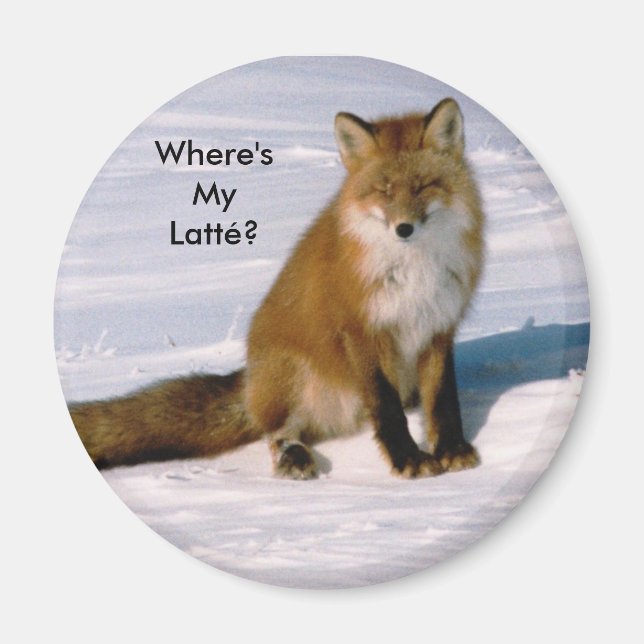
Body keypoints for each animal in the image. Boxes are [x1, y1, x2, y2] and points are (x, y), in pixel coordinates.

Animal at [69, 97, 484, 480]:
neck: (414, 269)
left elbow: (443, 401)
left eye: (423, 186)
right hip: (296, 374)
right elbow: (387, 409)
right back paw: (293, 457)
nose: (403, 229)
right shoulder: (362, 331)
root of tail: (250, 381)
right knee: (278, 431)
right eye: (383, 190)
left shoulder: (438, 325)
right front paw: (408, 459)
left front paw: (452, 450)